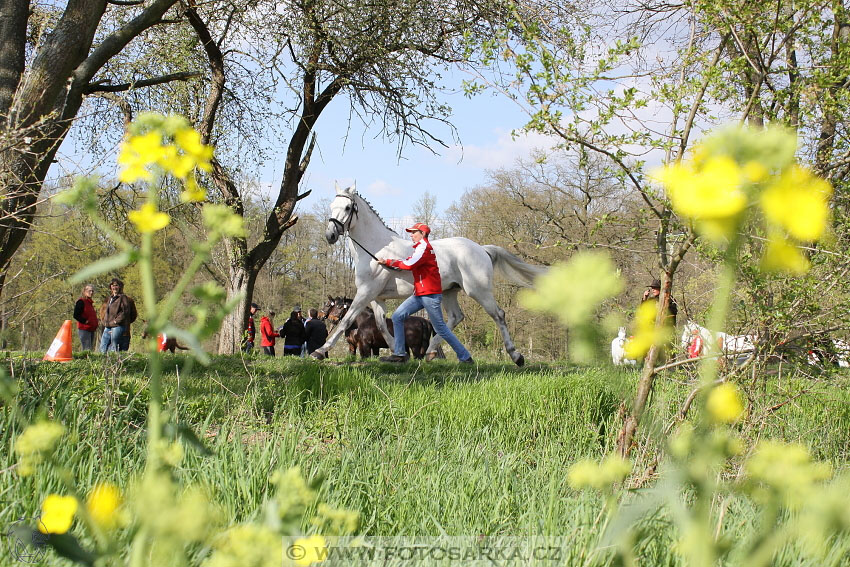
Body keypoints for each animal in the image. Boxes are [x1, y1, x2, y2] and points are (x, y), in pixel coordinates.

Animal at [310, 184, 544, 366]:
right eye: (332, 206)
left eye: (348, 207)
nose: (330, 235)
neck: (375, 249)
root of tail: (482, 249)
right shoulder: (377, 297)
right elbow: (382, 325)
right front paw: (397, 353)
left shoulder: (366, 292)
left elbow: (346, 320)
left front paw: (319, 352)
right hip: (450, 291)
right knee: (455, 317)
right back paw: (432, 352)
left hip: (478, 290)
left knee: (498, 315)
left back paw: (516, 356)